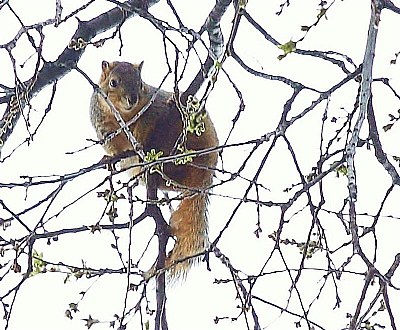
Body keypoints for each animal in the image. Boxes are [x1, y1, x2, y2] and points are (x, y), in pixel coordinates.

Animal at [90, 60, 219, 278]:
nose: (132, 98)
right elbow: (112, 145)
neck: (126, 115)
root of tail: (207, 170)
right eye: (113, 82)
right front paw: (109, 158)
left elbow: (147, 126)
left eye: (141, 83)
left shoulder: (153, 108)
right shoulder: (103, 125)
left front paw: (141, 142)